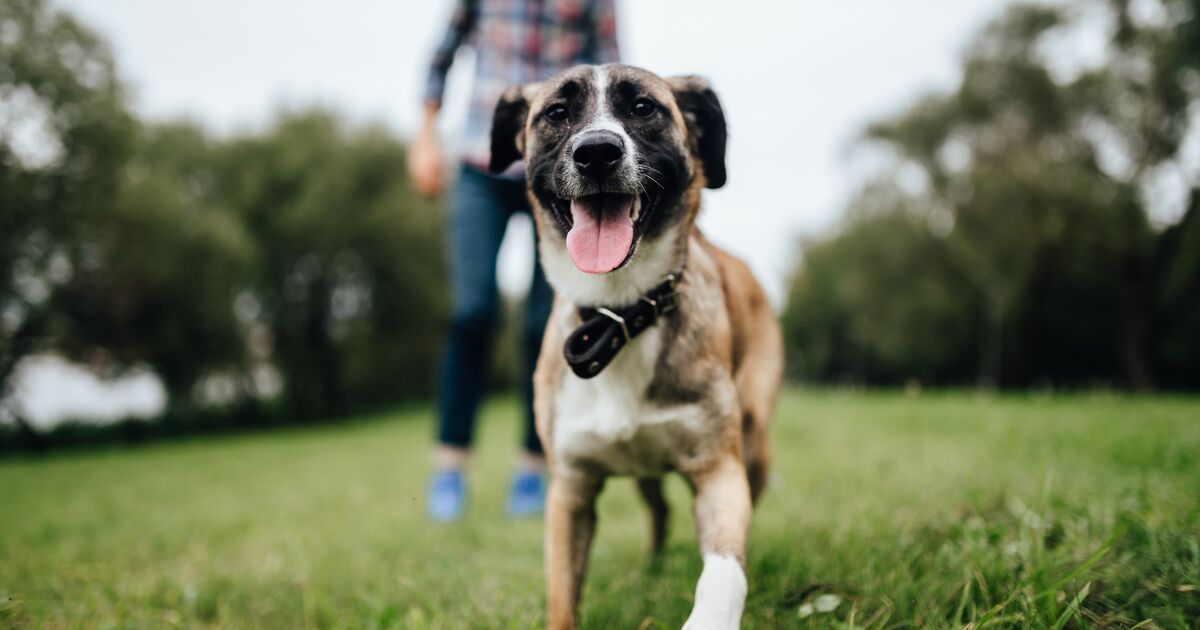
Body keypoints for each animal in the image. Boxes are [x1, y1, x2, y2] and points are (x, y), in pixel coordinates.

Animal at [492, 63, 782, 628]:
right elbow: (562, 597)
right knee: (660, 508)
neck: (620, 314)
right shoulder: (570, 492)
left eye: (644, 108)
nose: (597, 151)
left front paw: (711, 615)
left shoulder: (718, 470)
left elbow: (724, 569)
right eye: (556, 113)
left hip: (754, 442)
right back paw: (652, 565)